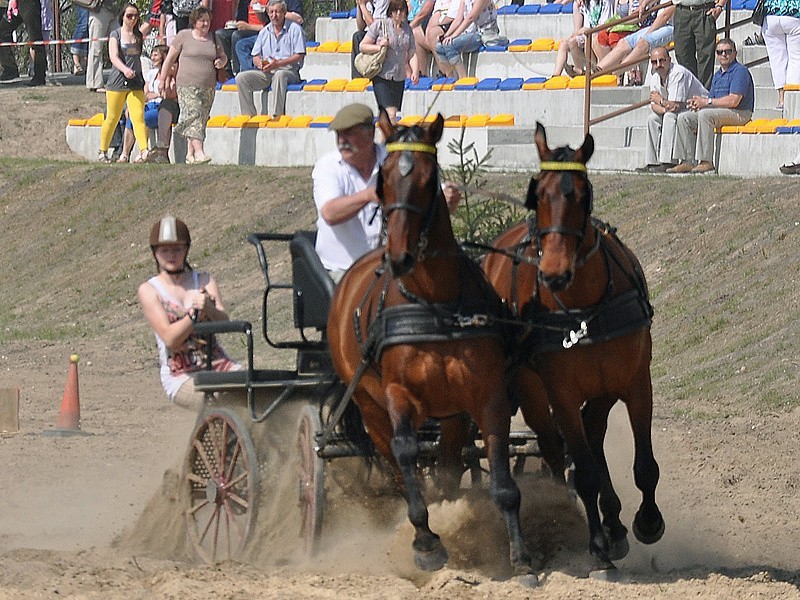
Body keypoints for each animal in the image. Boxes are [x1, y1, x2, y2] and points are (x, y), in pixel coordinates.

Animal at [324, 111, 536, 580]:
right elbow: (406, 454)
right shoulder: (398, 395)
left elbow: (503, 480)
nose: (400, 256)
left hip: (452, 414)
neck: (435, 302)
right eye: (382, 178)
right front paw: (426, 543)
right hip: (370, 407)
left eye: (428, 177)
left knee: (448, 463)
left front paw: (521, 557)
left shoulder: (486, 396)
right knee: (397, 463)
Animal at [484, 123, 664, 576]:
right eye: (538, 195)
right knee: (556, 452)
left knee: (593, 435)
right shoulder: (561, 393)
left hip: (601, 389)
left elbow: (644, 465)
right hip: (531, 392)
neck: (584, 309)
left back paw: (614, 521)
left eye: (582, 194)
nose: (553, 273)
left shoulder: (636, 383)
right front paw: (597, 548)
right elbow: (582, 471)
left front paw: (647, 521)